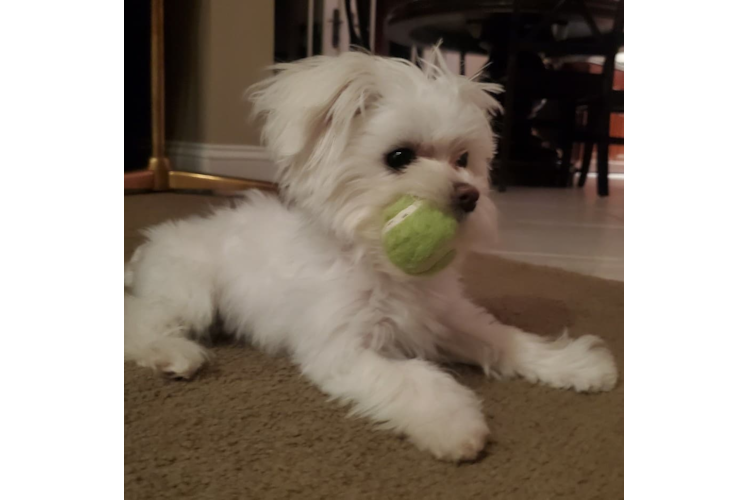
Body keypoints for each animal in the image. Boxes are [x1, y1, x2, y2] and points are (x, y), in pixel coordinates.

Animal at [125, 47, 616, 460]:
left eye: (463, 159)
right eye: (399, 157)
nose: (470, 196)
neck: (381, 264)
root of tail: (156, 241)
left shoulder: (446, 318)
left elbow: (504, 338)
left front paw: (575, 364)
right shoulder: (344, 348)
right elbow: (415, 378)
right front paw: (453, 423)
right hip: (190, 292)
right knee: (141, 321)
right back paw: (174, 354)